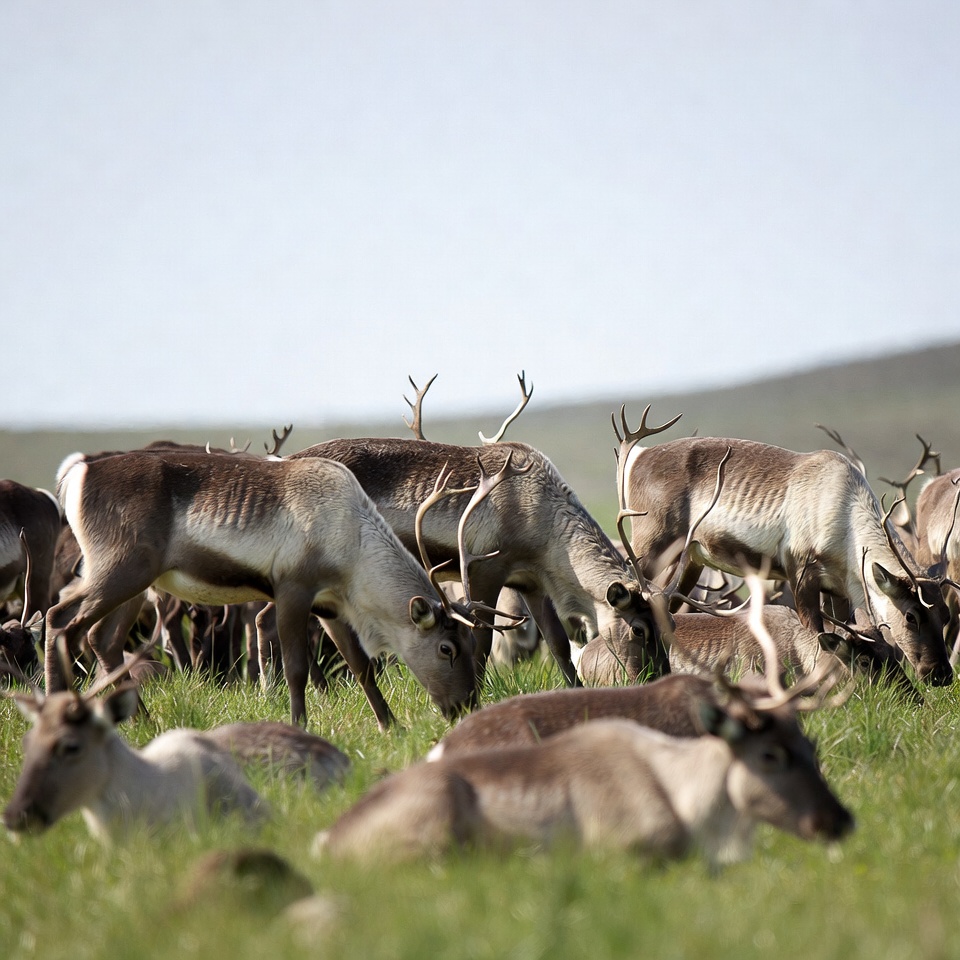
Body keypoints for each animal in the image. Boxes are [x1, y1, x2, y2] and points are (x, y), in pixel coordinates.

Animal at [45, 447, 478, 729]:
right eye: (447, 648)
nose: (466, 706)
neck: (353, 545)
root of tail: (78, 472)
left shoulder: (331, 607)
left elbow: (361, 666)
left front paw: (391, 726)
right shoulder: (292, 590)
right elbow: (295, 669)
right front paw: (300, 725)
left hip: (133, 582)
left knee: (100, 638)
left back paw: (144, 722)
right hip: (120, 569)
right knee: (61, 620)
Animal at [615, 404, 955, 686]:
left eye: (946, 614)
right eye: (910, 615)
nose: (941, 675)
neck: (845, 513)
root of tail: (639, 456)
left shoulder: (838, 588)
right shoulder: (801, 574)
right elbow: (817, 633)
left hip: (689, 563)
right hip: (649, 548)